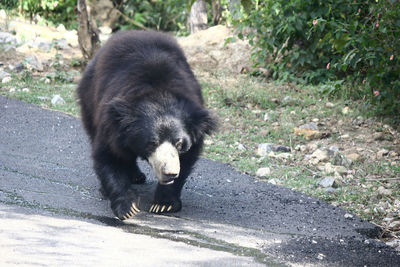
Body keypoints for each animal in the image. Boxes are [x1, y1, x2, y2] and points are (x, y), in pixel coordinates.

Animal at [77, 30, 217, 221]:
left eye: (179, 143)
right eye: (152, 143)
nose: (170, 172)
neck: (159, 94)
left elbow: (186, 160)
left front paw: (163, 204)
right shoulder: (111, 124)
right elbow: (109, 156)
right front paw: (127, 207)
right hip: (89, 98)